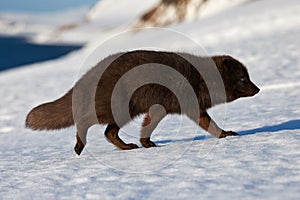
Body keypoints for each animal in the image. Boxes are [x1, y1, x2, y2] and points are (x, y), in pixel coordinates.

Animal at [25, 50, 260, 155]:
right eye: (243, 78)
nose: (258, 89)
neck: (200, 78)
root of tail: (86, 76)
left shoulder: (169, 108)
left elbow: (147, 127)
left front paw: (146, 144)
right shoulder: (181, 106)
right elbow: (209, 125)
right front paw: (226, 134)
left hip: (123, 113)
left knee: (108, 133)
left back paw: (127, 147)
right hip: (116, 109)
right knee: (84, 122)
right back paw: (79, 146)